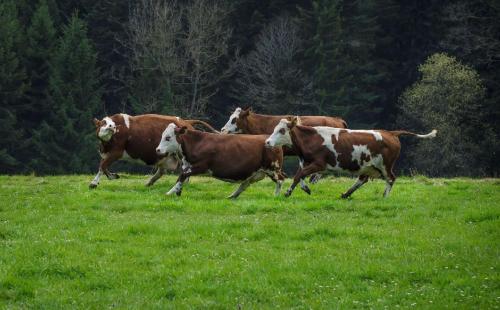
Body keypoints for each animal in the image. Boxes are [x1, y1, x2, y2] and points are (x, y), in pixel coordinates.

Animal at [89, 112, 217, 188]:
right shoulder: (107, 154)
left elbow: (102, 166)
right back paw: (149, 183)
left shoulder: (116, 152)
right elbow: (104, 166)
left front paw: (94, 183)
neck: (106, 144)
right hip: (164, 157)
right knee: (161, 171)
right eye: (103, 123)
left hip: (180, 154)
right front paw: (113, 176)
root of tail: (186, 122)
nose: (112, 126)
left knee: (185, 168)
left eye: (112, 123)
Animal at [155, 122, 286, 197]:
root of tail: (269, 140)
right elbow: (181, 178)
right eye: (162, 135)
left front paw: (169, 192)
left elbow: (182, 176)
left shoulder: (200, 166)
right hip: (256, 172)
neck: (196, 143)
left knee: (280, 180)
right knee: (245, 184)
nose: (157, 150)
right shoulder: (187, 166)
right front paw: (177, 192)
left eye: (168, 137)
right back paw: (232, 196)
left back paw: (276, 196)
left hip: (272, 168)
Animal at [264, 116, 436, 199]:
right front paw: (305, 189)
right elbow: (300, 176)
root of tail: (390, 133)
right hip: (368, 166)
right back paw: (346, 194)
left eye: (281, 130)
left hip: (385, 166)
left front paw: (287, 192)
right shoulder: (305, 162)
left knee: (391, 179)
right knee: (363, 179)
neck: (311, 139)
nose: (267, 142)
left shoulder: (319, 164)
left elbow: (298, 175)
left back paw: (385, 196)